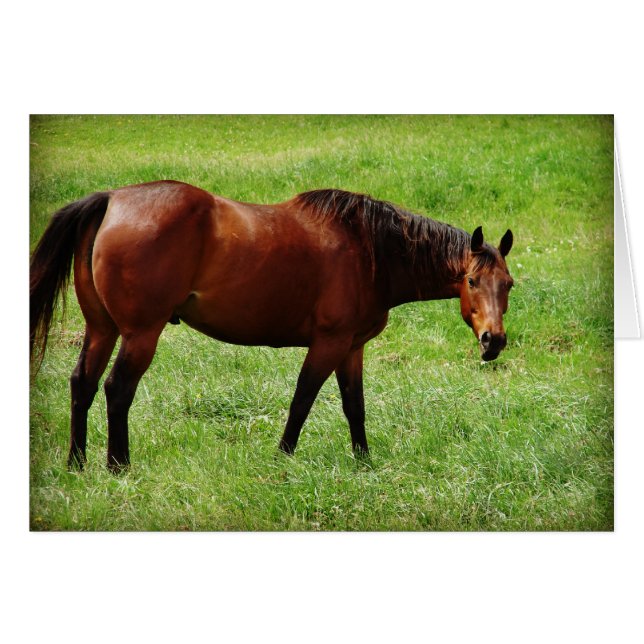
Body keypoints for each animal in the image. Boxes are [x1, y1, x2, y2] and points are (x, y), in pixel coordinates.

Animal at [30, 181, 514, 471]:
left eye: (508, 284)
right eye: (472, 281)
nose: (493, 342)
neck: (369, 249)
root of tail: (112, 200)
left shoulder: (352, 347)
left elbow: (354, 406)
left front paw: (363, 462)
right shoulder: (329, 343)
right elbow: (302, 401)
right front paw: (283, 457)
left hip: (102, 329)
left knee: (83, 384)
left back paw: (77, 464)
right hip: (140, 335)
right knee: (117, 390)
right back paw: (119, 466)